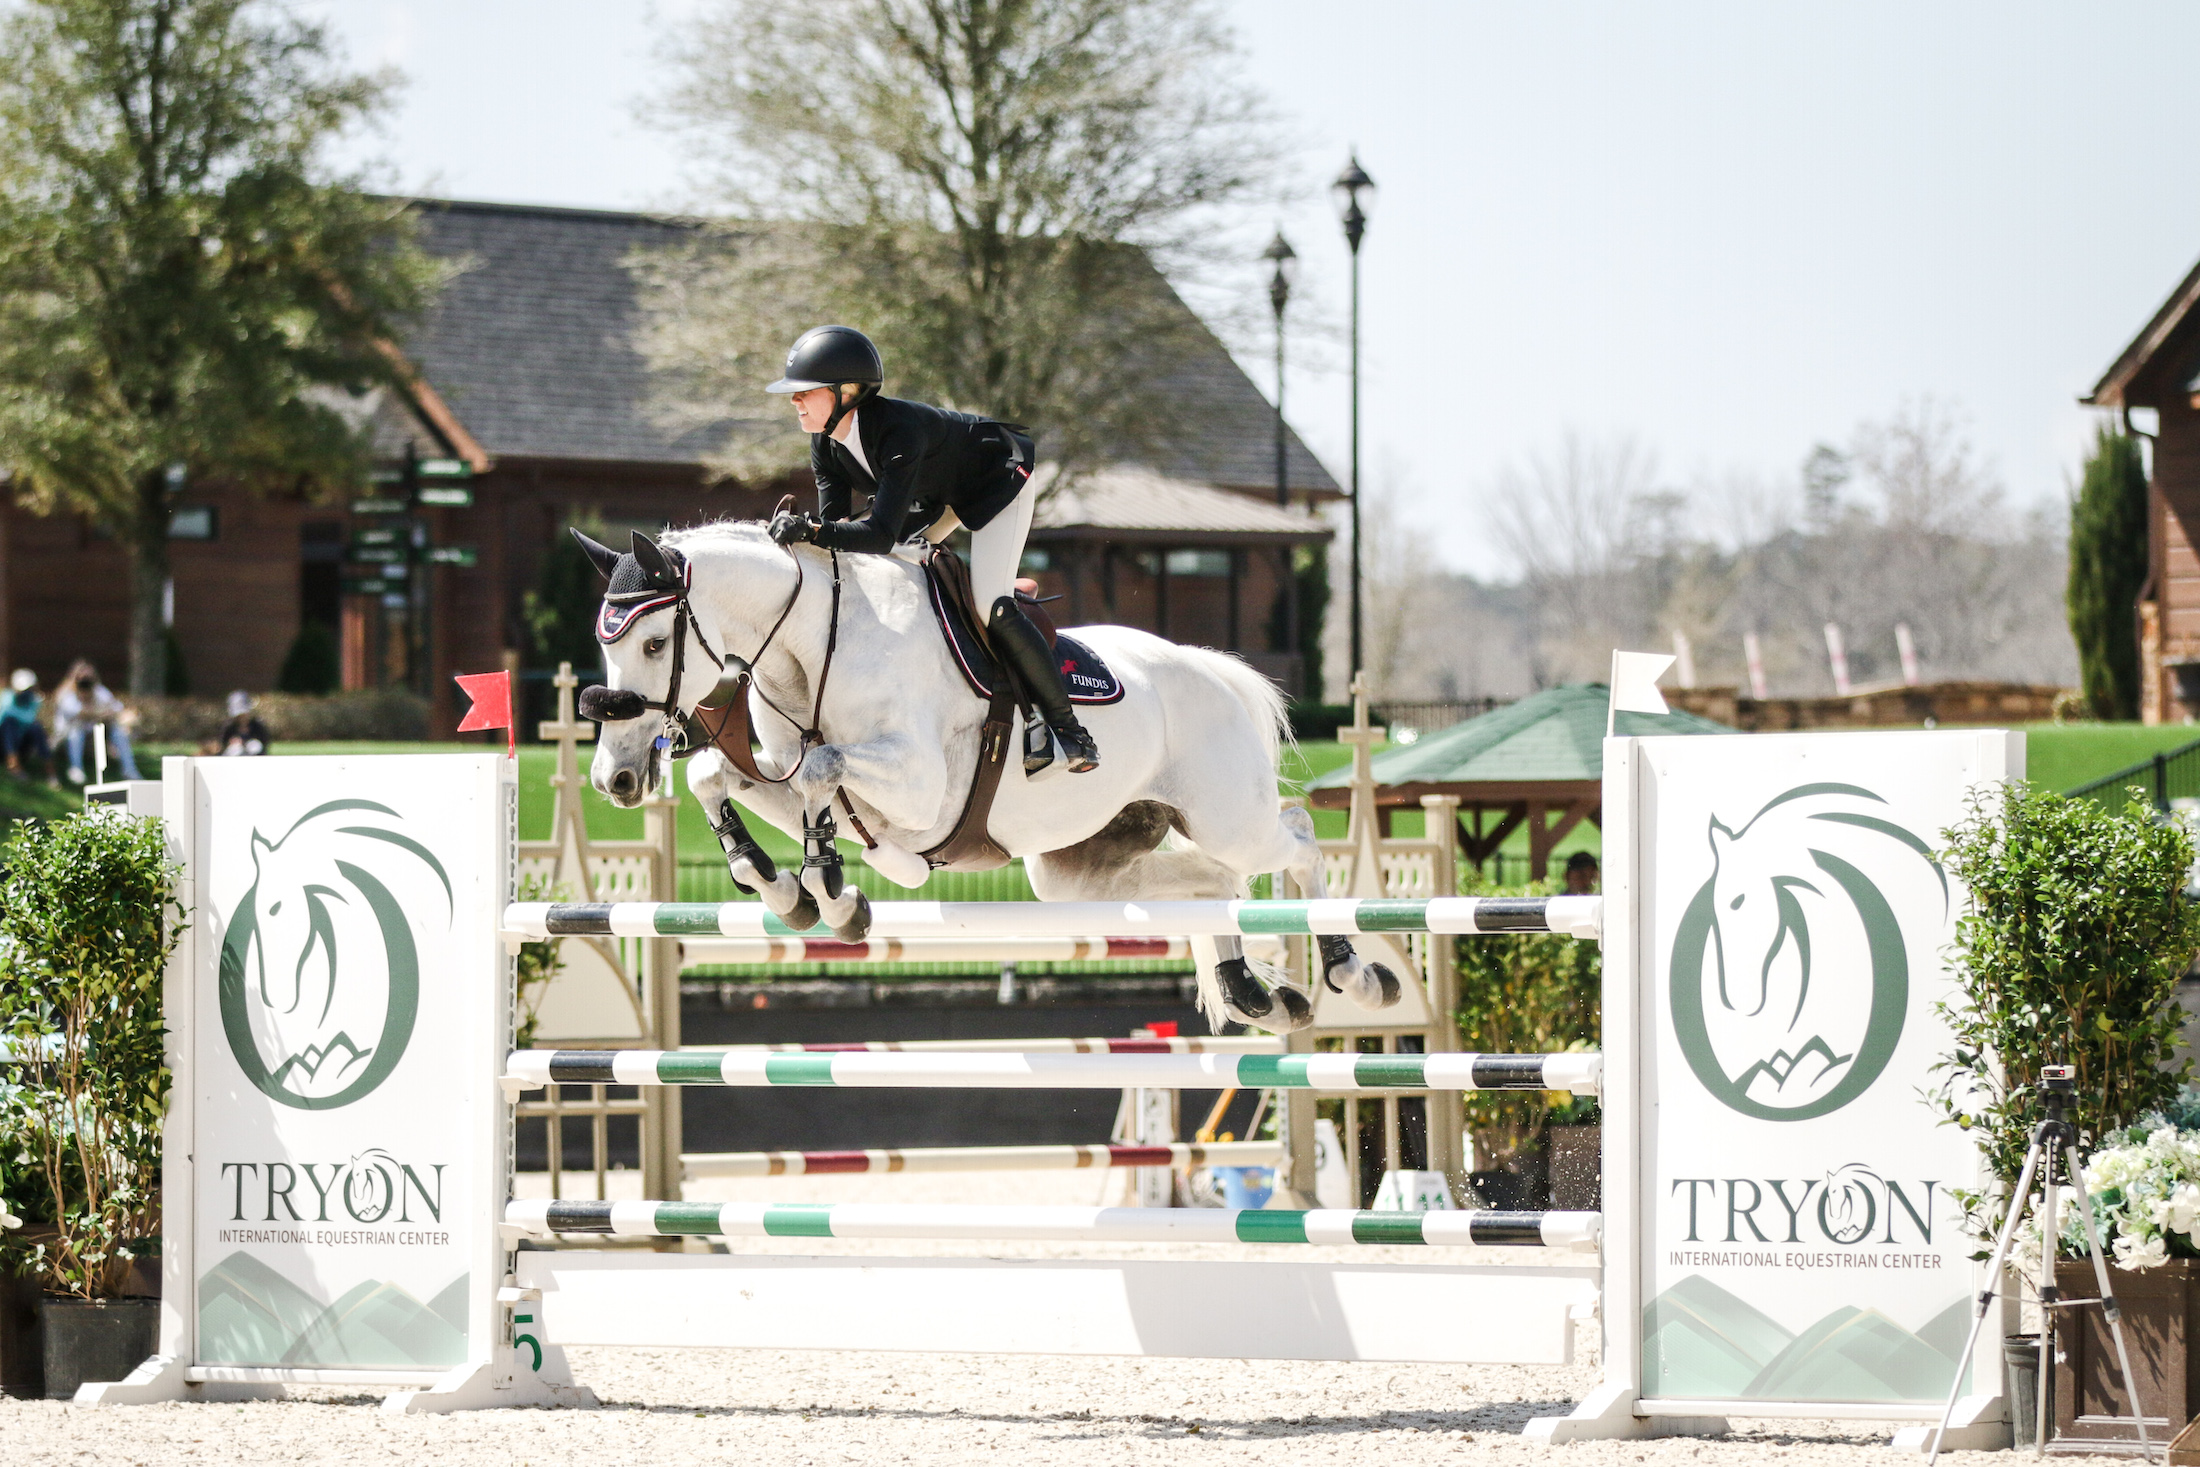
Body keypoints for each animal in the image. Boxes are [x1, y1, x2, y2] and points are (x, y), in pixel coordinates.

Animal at [580, 525, 1408, 1033]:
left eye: (653, 643)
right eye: (605, 641)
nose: (615, 777)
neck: (813, 647)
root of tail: (1216, 670)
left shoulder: (919, 790)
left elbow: (822, 769)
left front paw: (828, 887)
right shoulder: (783, 770)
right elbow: (716, 775)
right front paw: (789, 888)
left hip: (1228, 815)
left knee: (1296, 837)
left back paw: (1356, 972)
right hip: (1076, 870)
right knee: (1214, 880)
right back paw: (1252, 992)